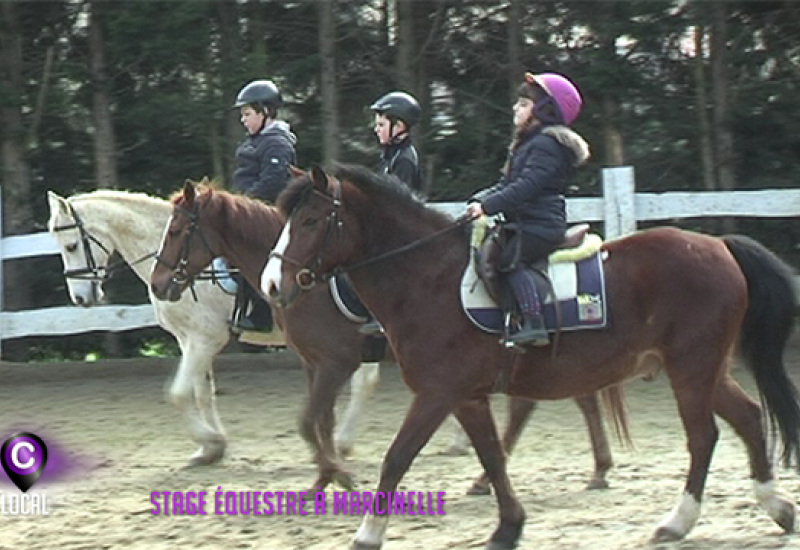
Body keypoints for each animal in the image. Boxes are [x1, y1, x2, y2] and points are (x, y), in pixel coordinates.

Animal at [47, 191, 382, 470]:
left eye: (72, 245)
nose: (80, 298)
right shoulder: (188, 340)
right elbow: (203, 393)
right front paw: (211, 449)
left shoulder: (204, 339)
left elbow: (178, 394)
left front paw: (210, 441)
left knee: (363, 382)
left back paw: (342, 443)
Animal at [147, 180, 616, 496]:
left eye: (177, 232)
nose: (159, 284)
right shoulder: (314, 363)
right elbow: (319, 419)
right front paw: (326, 475)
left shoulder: (335, 362)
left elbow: (309, 420)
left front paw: (337, 474)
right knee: (561, 399)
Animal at [262, 164, 800, 550]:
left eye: (310, 221)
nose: (271, 285)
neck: (427, 279)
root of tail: (719, 247)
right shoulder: (467, 398)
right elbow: (493, 456)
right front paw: (509, 527)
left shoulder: (438, 393)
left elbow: (398, 458)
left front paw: (368, 534)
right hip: (702, 369)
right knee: (748, 417)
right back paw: (774, 507)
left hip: (691, 368)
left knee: (704, 436)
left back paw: (678, 520)